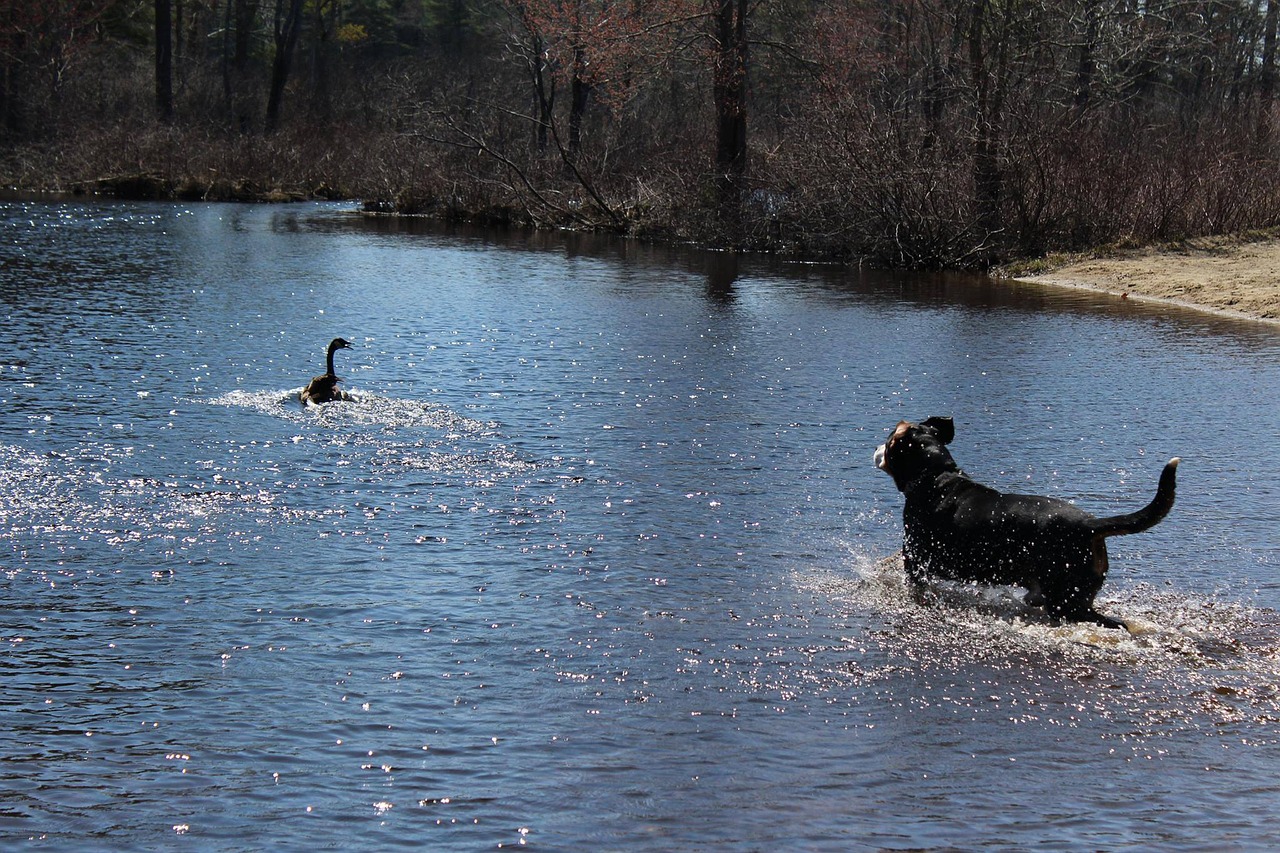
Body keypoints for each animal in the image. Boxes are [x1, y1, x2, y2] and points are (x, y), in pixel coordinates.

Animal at [870, 414, 1177, 627]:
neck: (935, 477)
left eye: (890, 437)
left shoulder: (916, 563)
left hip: (1067, 601)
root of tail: (1090, 525)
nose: (876, 447)